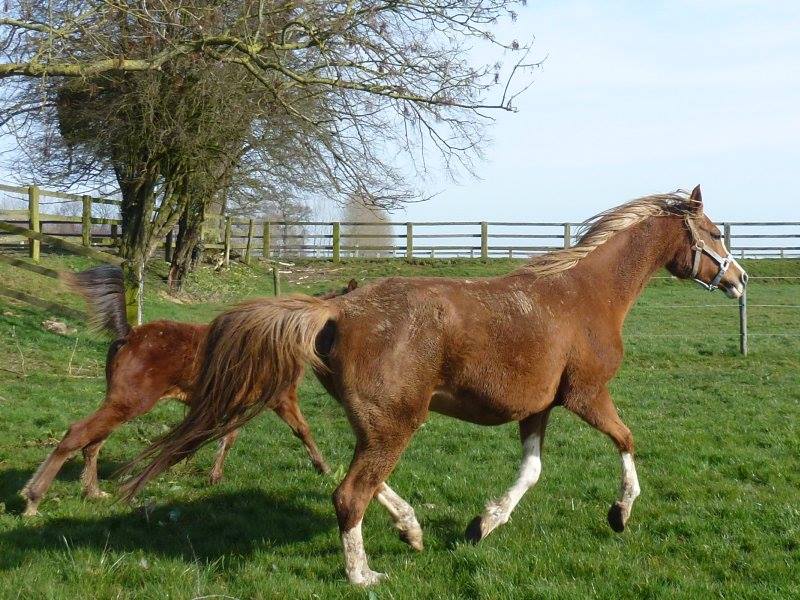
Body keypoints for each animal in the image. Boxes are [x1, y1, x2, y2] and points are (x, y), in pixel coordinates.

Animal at [21, 268, 356, 516]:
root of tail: (130, 334)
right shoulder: (281, 398)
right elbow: (302, 430)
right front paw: (324, 467)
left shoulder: (237, 402)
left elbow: (228, 438)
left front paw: (214, 476)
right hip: (129, 402)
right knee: (77, 434)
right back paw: (34, 498)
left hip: (120, 403)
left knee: (92, 443)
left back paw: (92, 491)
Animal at [120, 188, 752, 584]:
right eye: (713, 232)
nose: (741, 281)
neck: (584, 295)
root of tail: (337, 307)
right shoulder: (586, 396)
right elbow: (626, 441)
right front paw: (620, 513)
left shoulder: (538, 408)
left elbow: (531, 472)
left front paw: (483, 524)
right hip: (397, 421)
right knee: (349, 493)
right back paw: (364, 573)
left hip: (380, 421)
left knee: (365, 482)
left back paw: (412, 531)